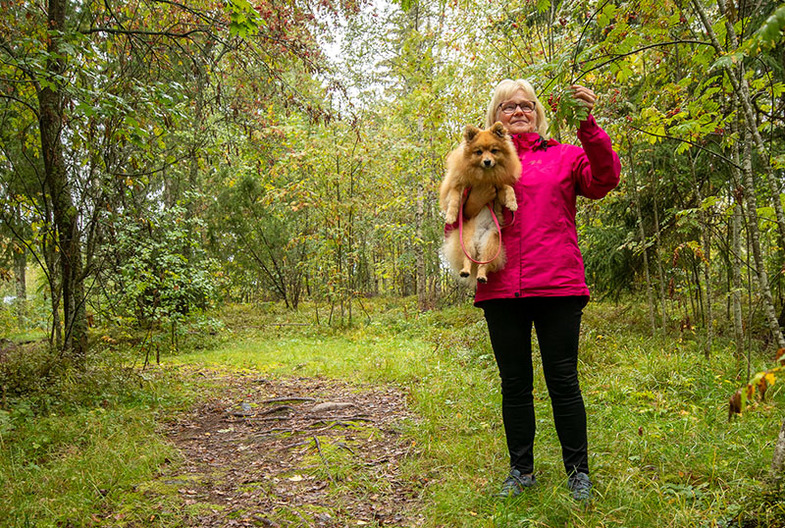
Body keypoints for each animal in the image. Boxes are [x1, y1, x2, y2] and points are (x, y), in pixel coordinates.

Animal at [440, 121, 520, 284]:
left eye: (494, 151)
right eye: (479, 152)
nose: (487, 161)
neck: (485, 176)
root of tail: (478, 240)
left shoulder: (498, 189)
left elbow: (508, 189)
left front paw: (512, 203)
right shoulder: (457, 185)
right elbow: (454, 200)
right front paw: (451, 216)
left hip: (490, 243)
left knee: (483, 262)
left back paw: (482, 276)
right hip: (467, 241)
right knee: (468, 259)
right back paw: (465, 270)